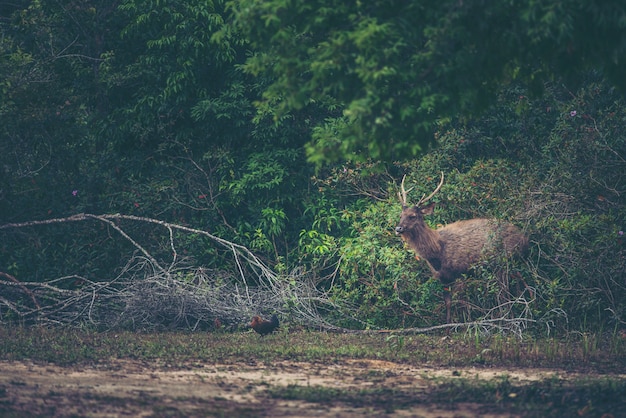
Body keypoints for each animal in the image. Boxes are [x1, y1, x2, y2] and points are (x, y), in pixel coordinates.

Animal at [394, 173, 528, 324]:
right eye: (400, 215)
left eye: (413, 216)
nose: (398, 229)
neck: (437, 254)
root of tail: (524, 238)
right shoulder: (444, 278)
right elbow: (448, 303)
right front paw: (447, 326)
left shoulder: (460, 272)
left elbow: (462, 303)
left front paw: (464, 324)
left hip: (502, 262)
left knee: (506, 291)